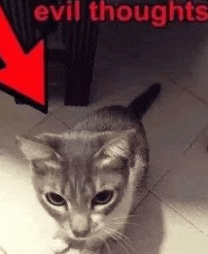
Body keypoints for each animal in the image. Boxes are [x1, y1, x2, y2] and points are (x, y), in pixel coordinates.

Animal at [16, 82, 161, 253]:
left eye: (103, 197)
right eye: (56, 199)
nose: (80, 232)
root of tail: (126, 110)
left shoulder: (118, 206)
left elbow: (99, 236)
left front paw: (90, 248)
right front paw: (61, 238)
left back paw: (118, 231)